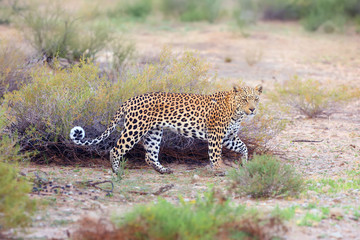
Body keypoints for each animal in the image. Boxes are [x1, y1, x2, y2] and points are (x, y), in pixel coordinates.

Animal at [69, 84, 262, 174]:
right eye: (244, 99)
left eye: (256, 99)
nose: (252, 109)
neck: (237, 112)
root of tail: (131, 99)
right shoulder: (216, 135)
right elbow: (215, 155)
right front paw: (219, 170)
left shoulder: (229, 137)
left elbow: (243, 147)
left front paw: (245, 163)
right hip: (134, 129)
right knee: (115, 149)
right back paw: (117, 172)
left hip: (153, 133)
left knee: (149, 156)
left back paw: (163, 170)